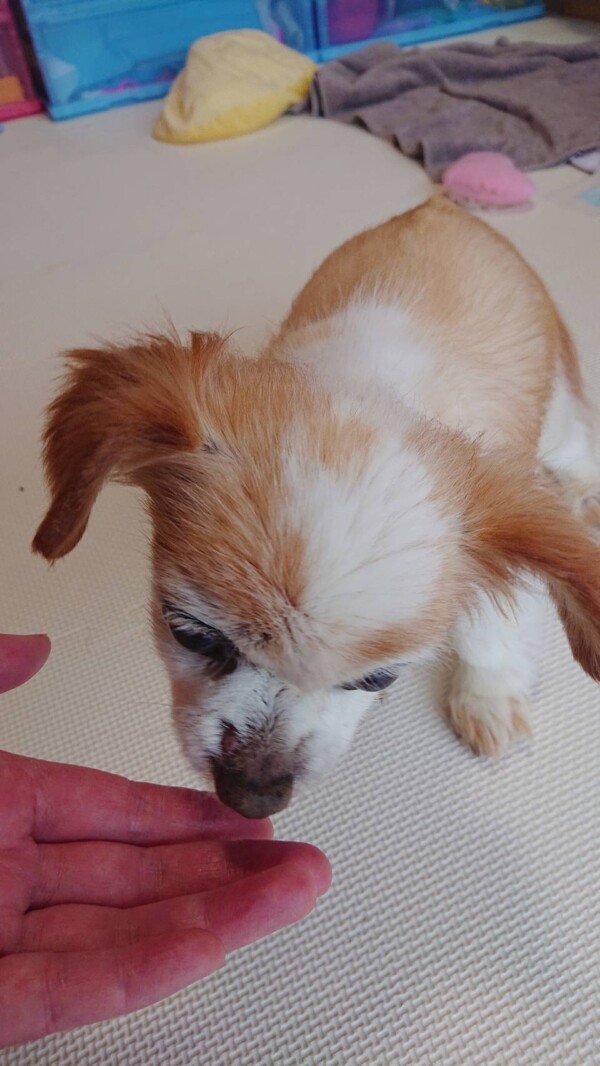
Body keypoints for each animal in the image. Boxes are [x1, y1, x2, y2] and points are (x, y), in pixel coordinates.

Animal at [33, 197, 600, 819]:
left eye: (377, 680)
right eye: (192, 635)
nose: (254, 794)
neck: (368, 386)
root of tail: (445, 205)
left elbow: (490, 626)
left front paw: (488, 697)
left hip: (556, 410)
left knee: (576, 445)